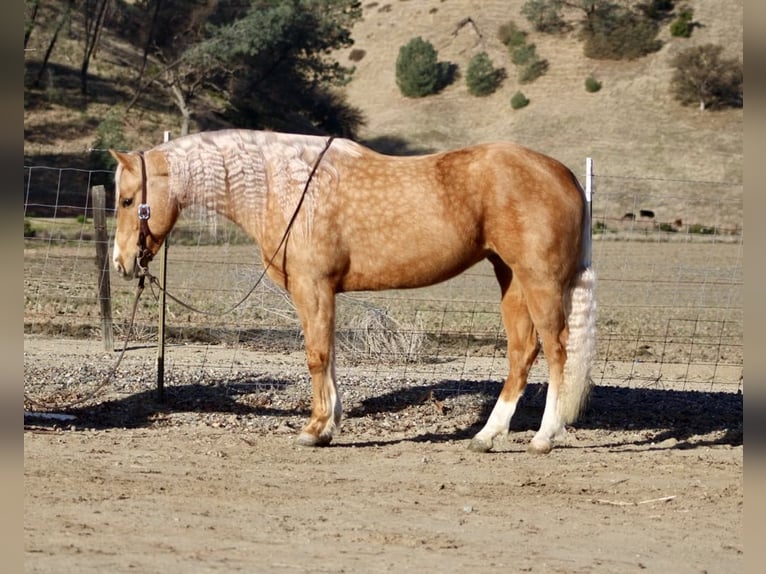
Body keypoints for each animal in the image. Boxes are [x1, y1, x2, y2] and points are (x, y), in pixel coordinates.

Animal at [110, 129, 596, 454]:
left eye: (127, 200)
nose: (121, 262)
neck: (284, 184)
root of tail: (564, 175)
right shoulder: (322, 292)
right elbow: (329, 355)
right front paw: (329, 424)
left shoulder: (312, 287)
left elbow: (317, 354)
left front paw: (315, 429)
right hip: (511, 278)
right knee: (522, 352)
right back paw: (487, 436)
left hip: (540, 280)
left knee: (557, 350)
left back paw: (544, 437)